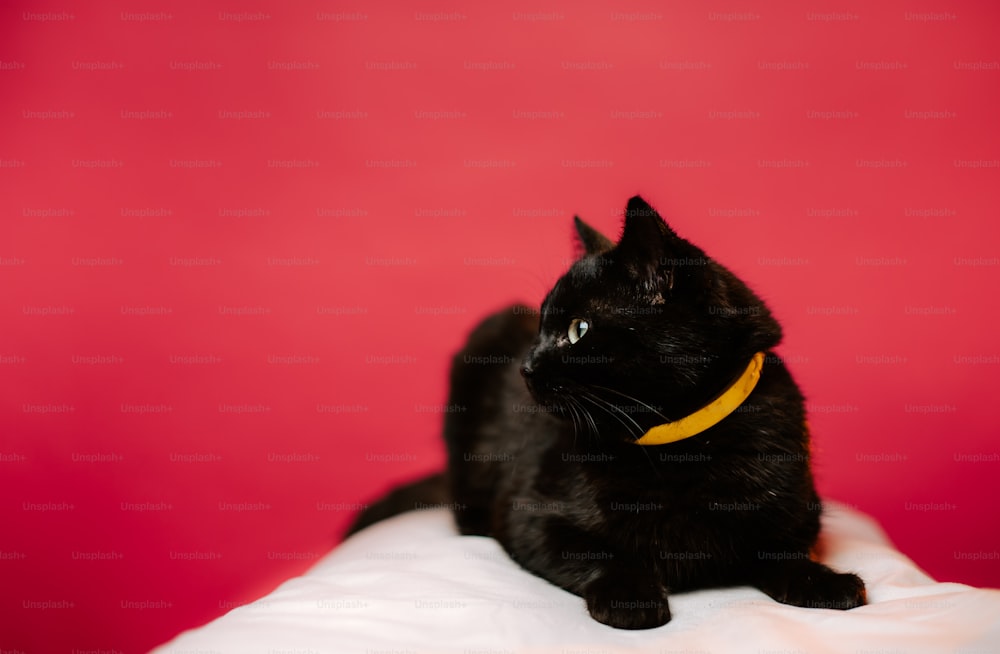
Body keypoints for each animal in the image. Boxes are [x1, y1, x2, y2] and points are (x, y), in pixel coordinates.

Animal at [348, 196, 864, 632]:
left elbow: (781, 552)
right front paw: (631, 598)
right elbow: (603, 551)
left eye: (579, 330)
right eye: (542, 326)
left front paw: (825, 581)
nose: (527, 365)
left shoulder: (798, 512)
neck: (680, 449)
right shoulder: (528, 514)